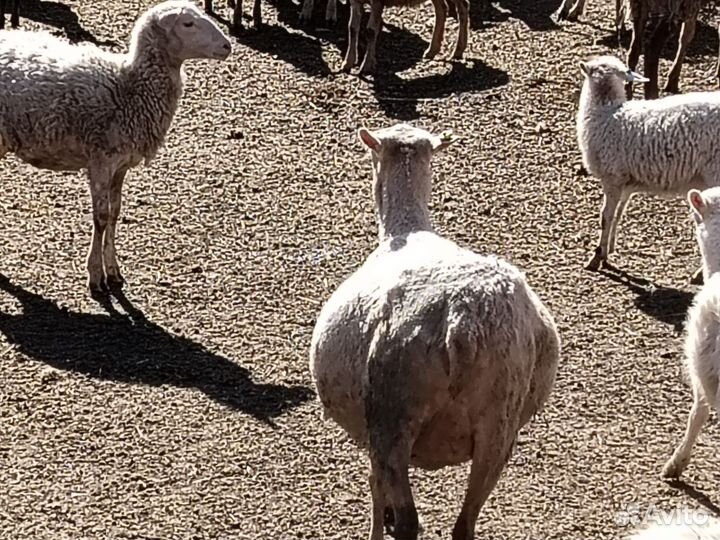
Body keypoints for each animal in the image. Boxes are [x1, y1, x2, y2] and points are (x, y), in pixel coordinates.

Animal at [0, 1, 231, 293]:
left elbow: (115, 213)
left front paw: (113, 271)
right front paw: (95, 275)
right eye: (187, 24)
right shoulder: (101, 160)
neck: (128, 86)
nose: (227, 46)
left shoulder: (121, 164)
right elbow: (100, 216)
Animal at [309, 123, 560, 540]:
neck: (407, 228)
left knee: (408, 519)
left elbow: (374, 485)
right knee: (465, 525)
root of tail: (464, 321)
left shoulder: (373, 431)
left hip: (394, 411)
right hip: (500, 425)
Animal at [577, 55, 720, 282]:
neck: (607, 113)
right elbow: (618, 214)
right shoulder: (625, 183)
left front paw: (596, 257)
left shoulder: (612, 177)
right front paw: (608, 251)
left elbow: (605, 217)